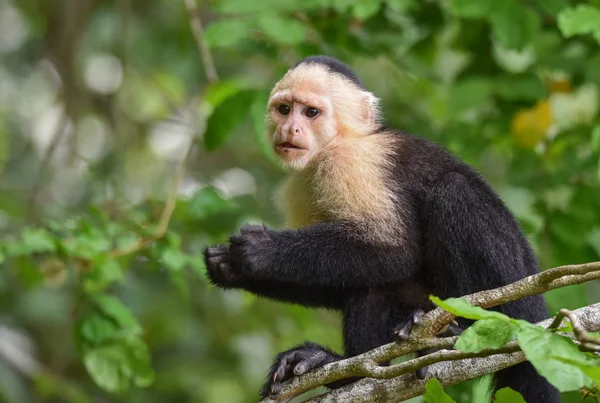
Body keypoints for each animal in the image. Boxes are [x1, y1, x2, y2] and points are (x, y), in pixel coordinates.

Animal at [204, 55, 560, 402]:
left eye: (311, 112)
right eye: (284, 109)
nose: (290, 128)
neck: (340, 141)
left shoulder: (351, 162)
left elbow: (395, 251)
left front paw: (258, 250)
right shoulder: (299, 187)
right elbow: (337, 278)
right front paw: (231, 268)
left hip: (516, 306)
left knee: (453, 194)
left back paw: (448, 333)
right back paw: (343, 370)